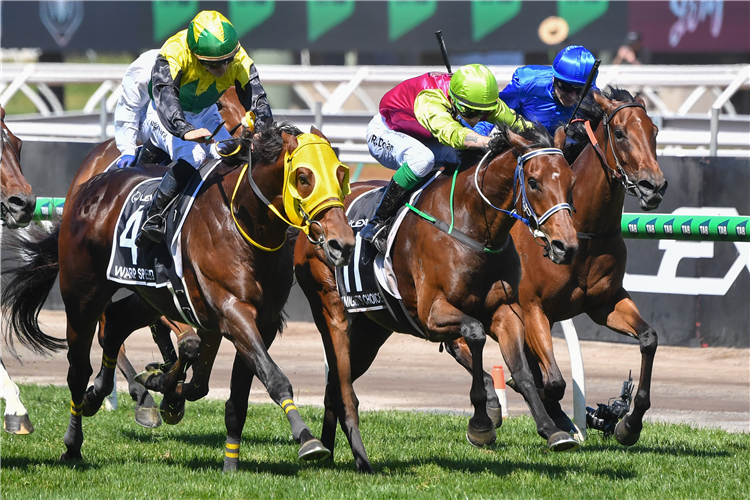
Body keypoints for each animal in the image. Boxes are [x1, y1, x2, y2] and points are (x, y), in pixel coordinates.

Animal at [0, 123, 356, 466]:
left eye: (341, 174)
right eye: (304, 177)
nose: (343, 243)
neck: (241, 223)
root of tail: (86, 188)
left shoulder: (259, 323)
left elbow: (232, 389)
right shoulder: (233, 312)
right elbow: (271, 376)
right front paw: (307, 439)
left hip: (150, 297)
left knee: (115, 324)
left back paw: (109, 395)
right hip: (82, 295)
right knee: (78, 369)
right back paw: (73, 443)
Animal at [296, 124, 580, 472]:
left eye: (570, 182)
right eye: (534, 181)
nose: (566, 246)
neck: (472, 225)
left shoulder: (504, 310)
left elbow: (522, 371)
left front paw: (552, 430)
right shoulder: (431, 313)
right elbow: (474, 333)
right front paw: (481, 424)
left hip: (370, 331)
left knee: (334, 384)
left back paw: (328, 449)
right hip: (330, 309)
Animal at [446, 86, 668, 446]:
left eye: (655, 131)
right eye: (620, 133)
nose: (654, 186)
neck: (584, 230)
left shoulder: (605, 303)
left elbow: (648, 338)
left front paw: (627, 423)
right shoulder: (532, 309)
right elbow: (552, 381)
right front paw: (564, 415)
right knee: (457, 342)